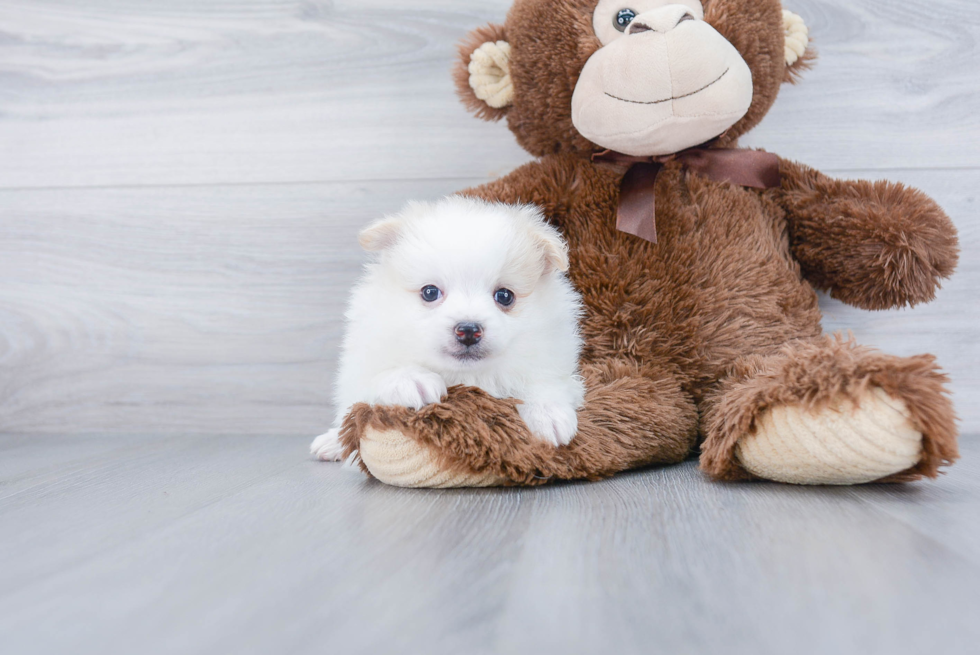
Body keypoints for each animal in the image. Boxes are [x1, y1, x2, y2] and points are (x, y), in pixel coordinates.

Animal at [310, 195, 580, 462]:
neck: (465, 375)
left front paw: (547, 414)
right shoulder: (363, 360)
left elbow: (545, 380)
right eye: (430, 292)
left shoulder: (551, 353)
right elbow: (378, 375)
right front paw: (412, 380)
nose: (468, 330)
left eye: (504, 296)